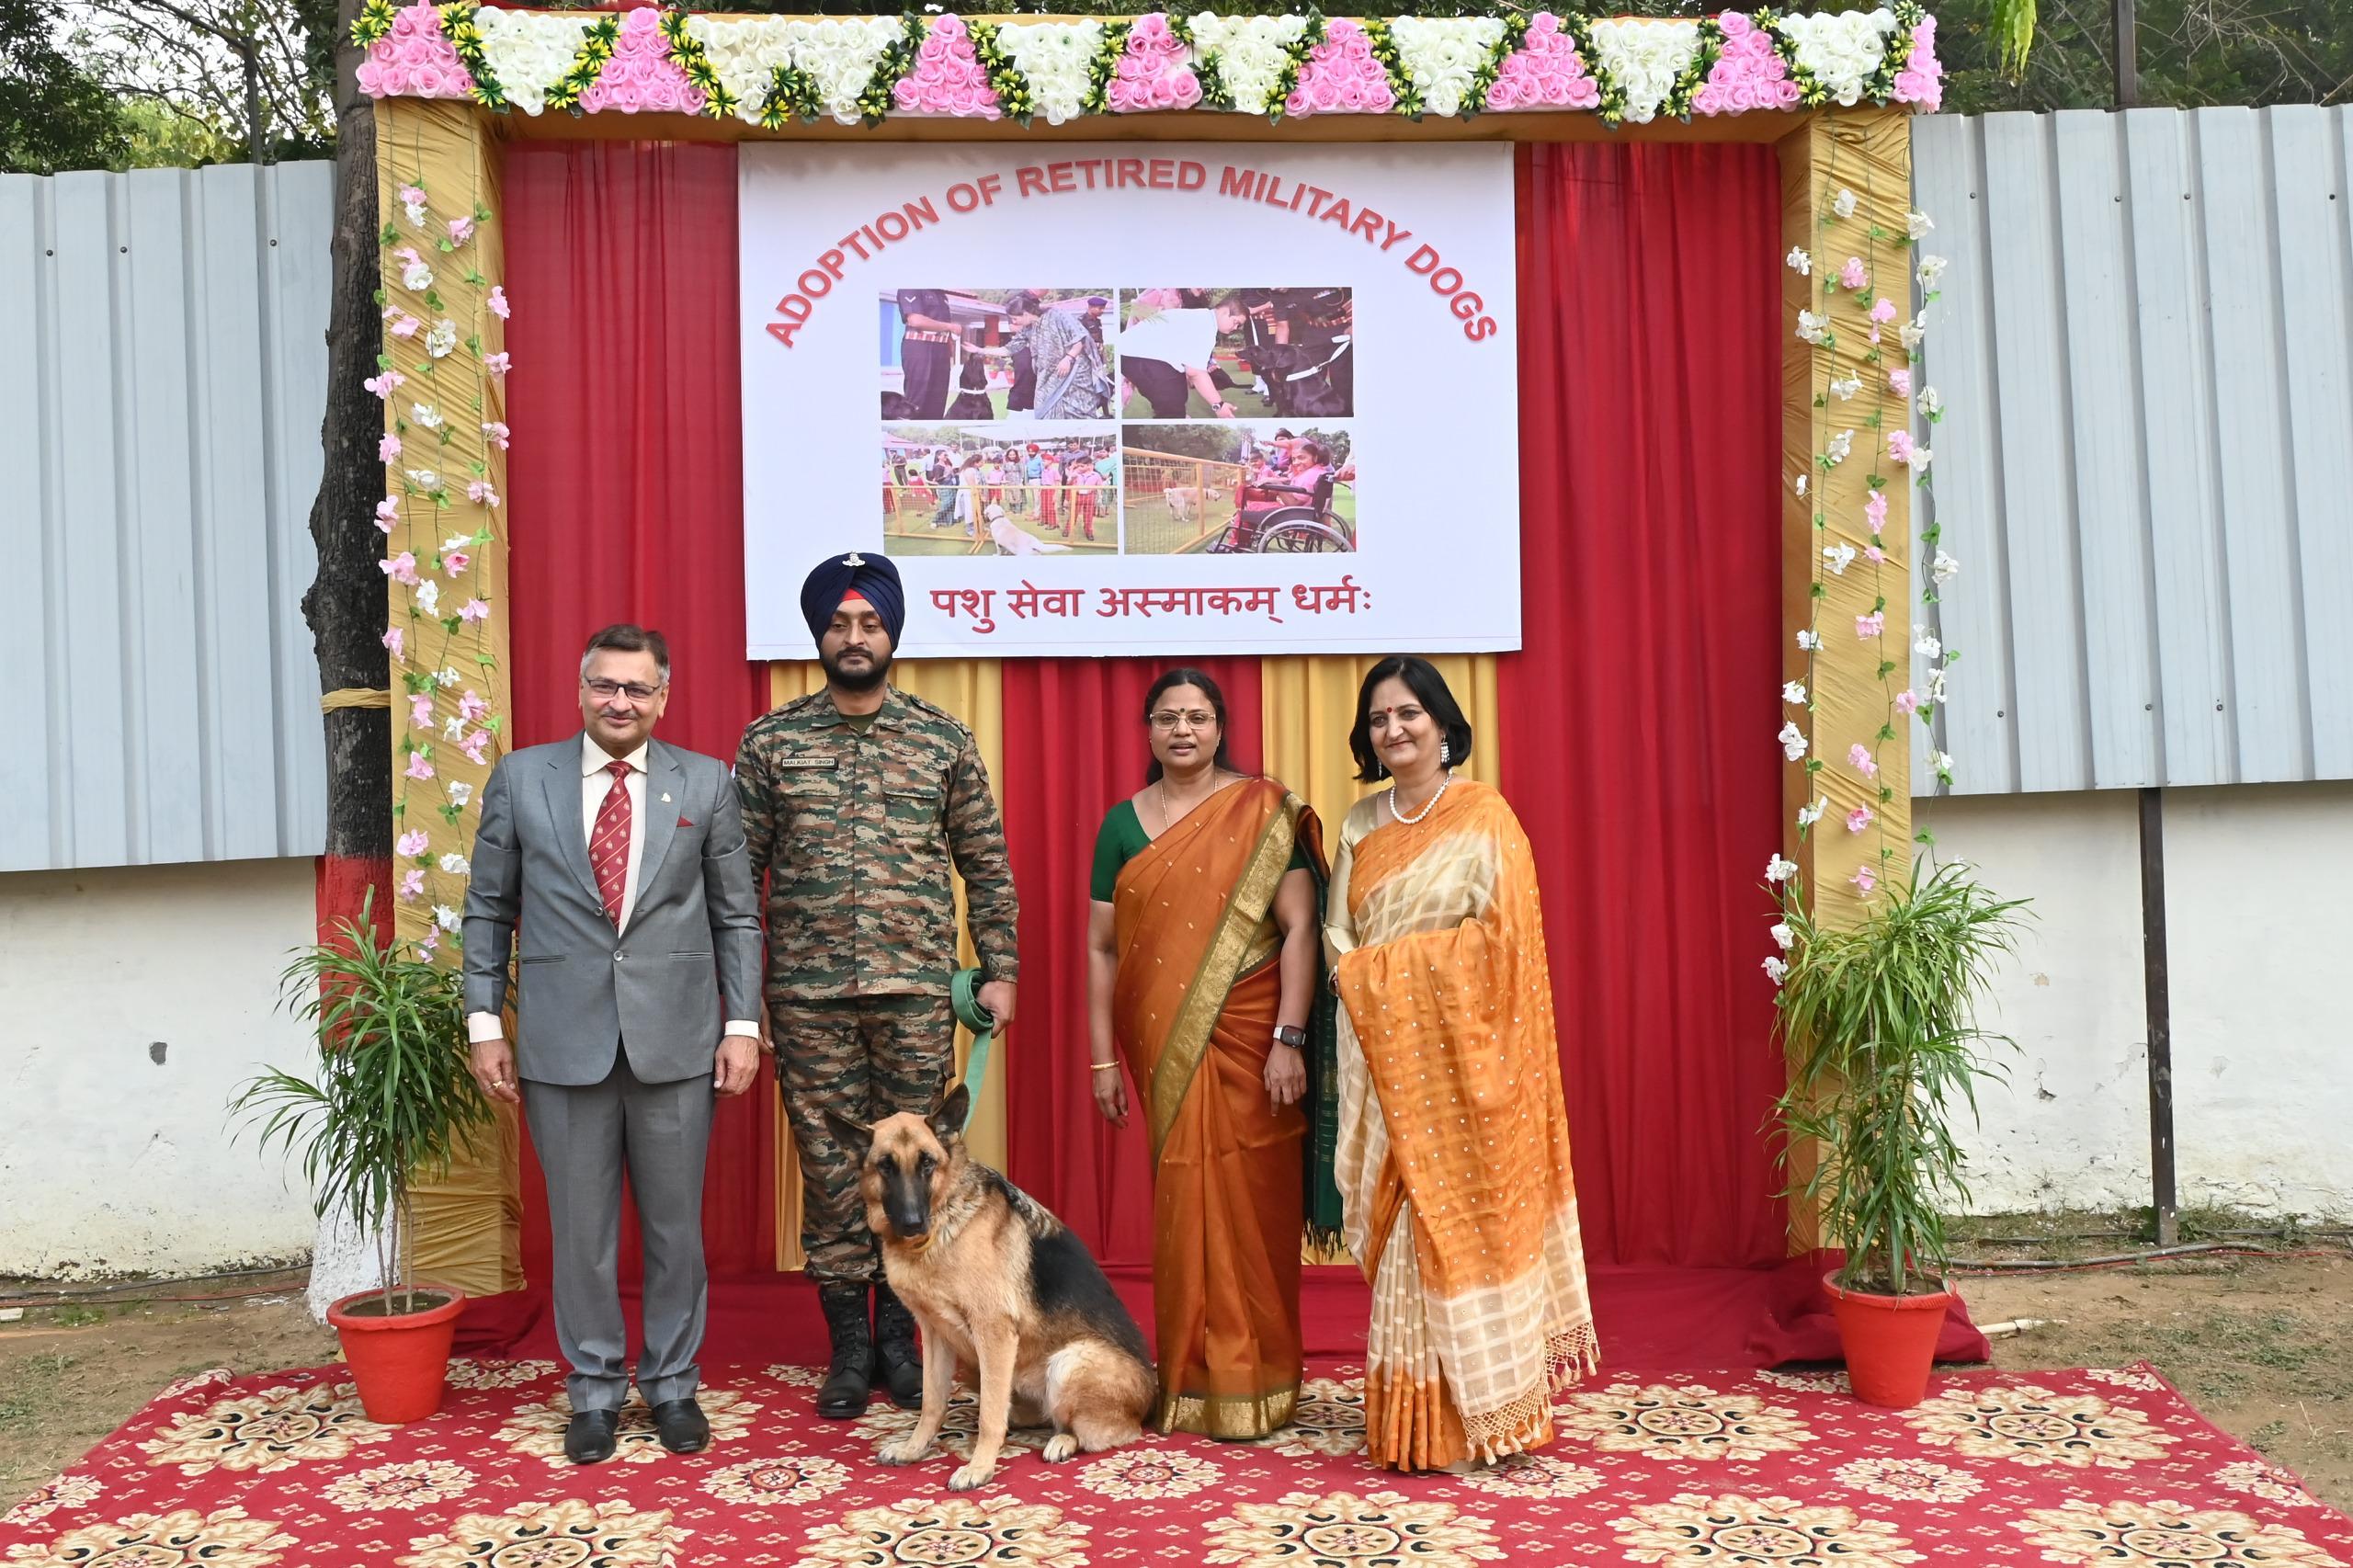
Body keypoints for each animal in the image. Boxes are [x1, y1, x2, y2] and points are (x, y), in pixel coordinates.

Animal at [828, 1083, 1157, 1487]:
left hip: (1069, 1361)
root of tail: (1151, 1397)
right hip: (973, 1364)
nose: (912, 1223)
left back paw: (1063, 1441)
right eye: (885, 1166)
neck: (945, 1224)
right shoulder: (935, 1334)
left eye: (927, 1163)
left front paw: (979, 1466)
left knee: (1102, 1431)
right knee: (1031, 1414)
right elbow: (932, 1402)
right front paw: (915, 1448)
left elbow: (988, 1414)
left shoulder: (994, 1332)